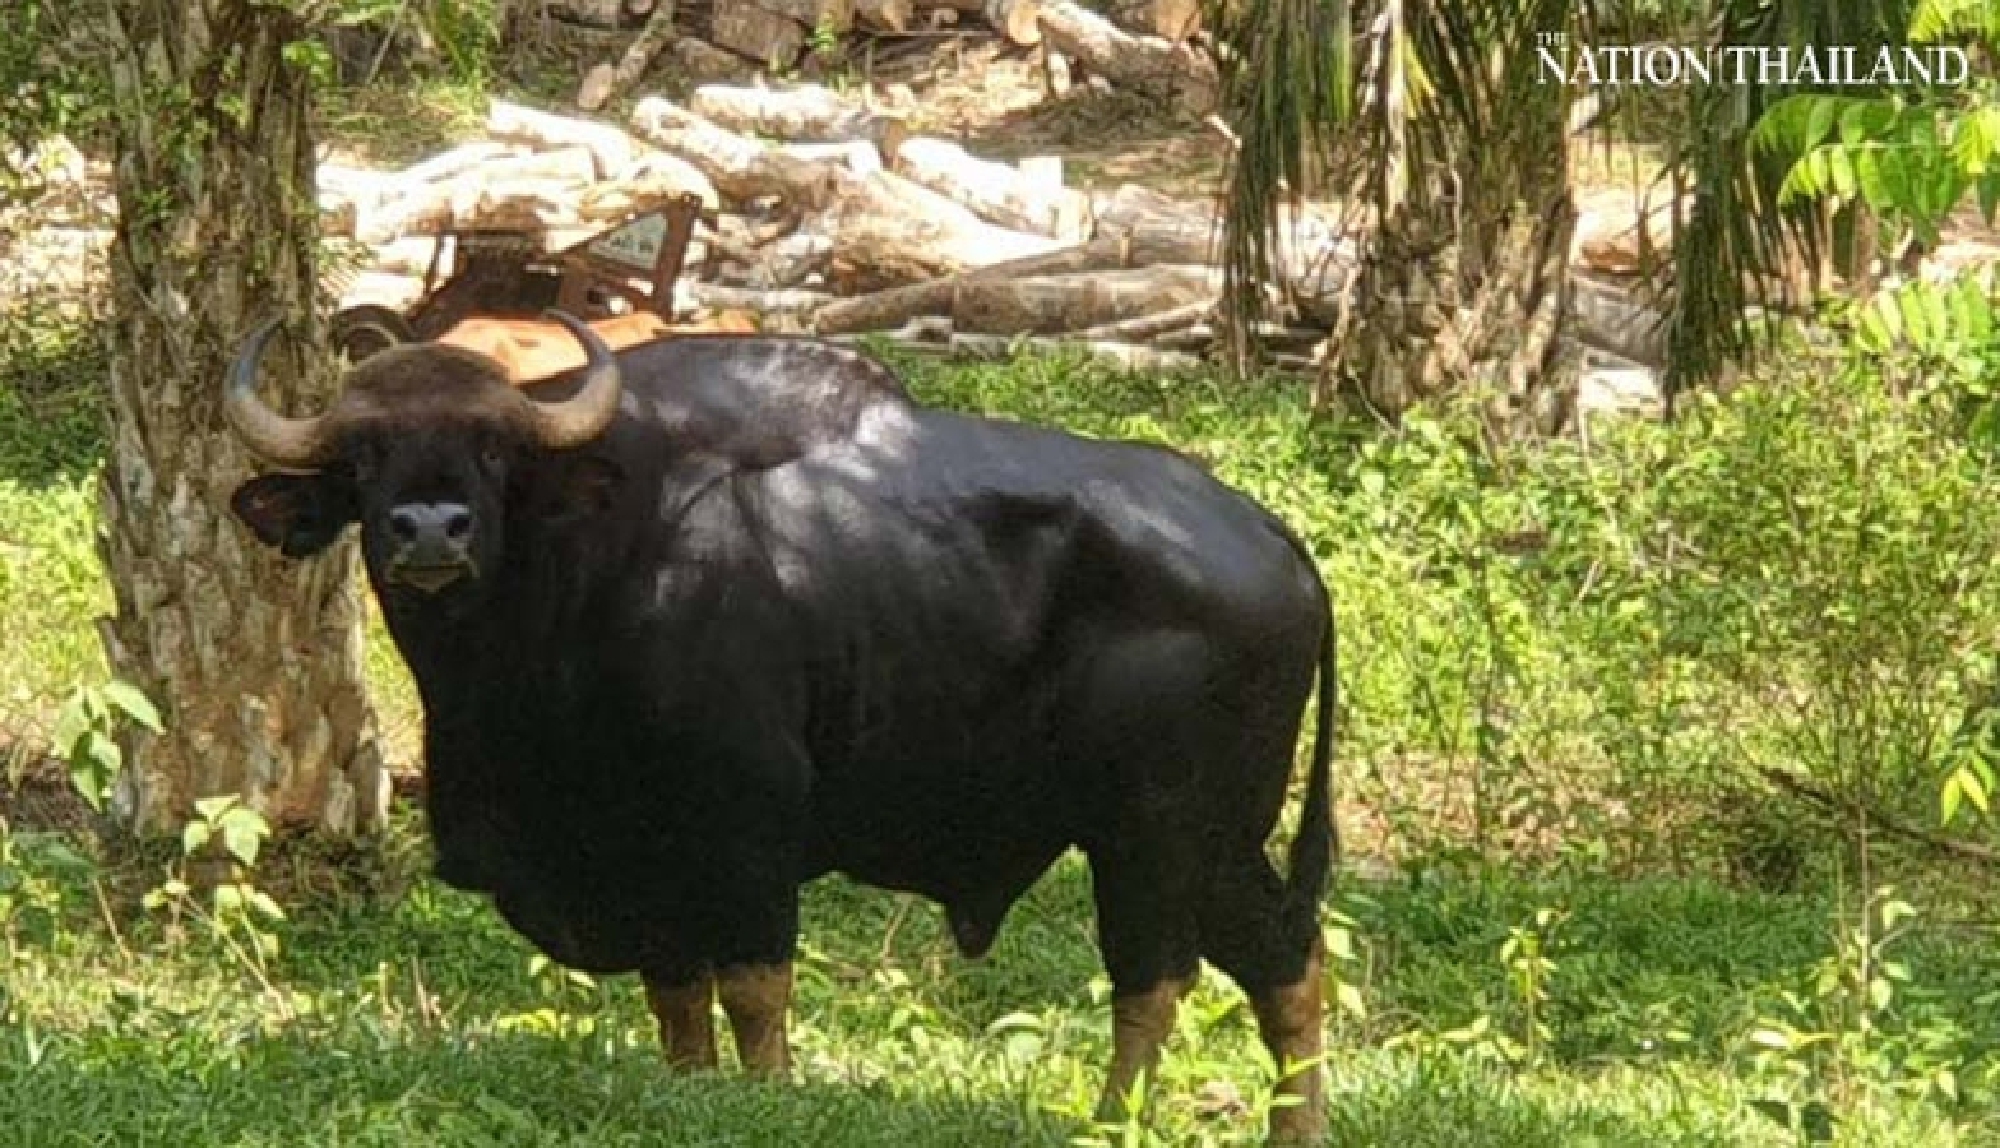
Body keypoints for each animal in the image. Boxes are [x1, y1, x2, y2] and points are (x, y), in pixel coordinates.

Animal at [222, 313, 1337, 1144]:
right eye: (365, 455)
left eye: (493, 451)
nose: (429, 530)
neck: (580, 584)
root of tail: (1268, 538)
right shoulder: (644, 857)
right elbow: (677, 1001)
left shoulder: (748, 824)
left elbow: (755, 990)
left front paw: (768, 1096)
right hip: (1216, 842)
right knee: (1286, 956)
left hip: (1157, 833)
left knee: (1154, 978)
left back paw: (1108, 1123)